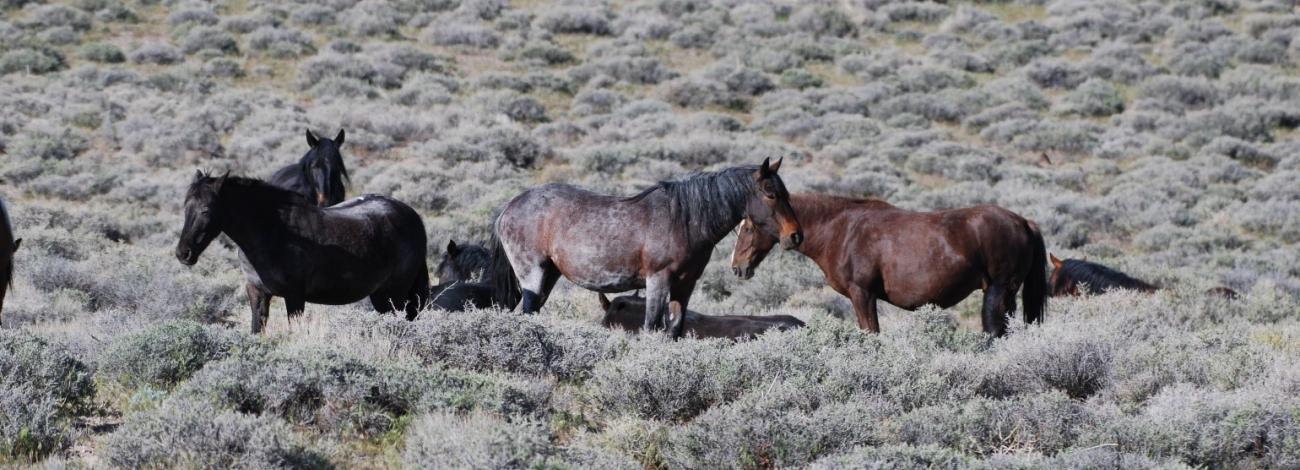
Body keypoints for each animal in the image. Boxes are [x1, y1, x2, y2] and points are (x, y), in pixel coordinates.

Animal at [175, 171, 428, 333]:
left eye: (206, 210)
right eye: (185, 208)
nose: (183, 253)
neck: (273, 232)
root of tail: (411, 215)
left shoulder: (295, 296)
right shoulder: (257, 293)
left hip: (396, 293)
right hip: (380, 295)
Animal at [488, 158, 803, 338]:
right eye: (770, 193)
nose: (796, 235)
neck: (683, 219)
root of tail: (509, 207)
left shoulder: (684, 286)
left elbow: (674, 329)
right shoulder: (657, 281)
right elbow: (651, 327)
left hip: (549, 274)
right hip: (532, 275)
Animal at [730, 194, 1046, 337]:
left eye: (749, 227)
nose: (737, 267)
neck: (841, 229)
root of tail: (1023, 222)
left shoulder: (862, 294)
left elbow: (871, 332)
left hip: (998, 290)